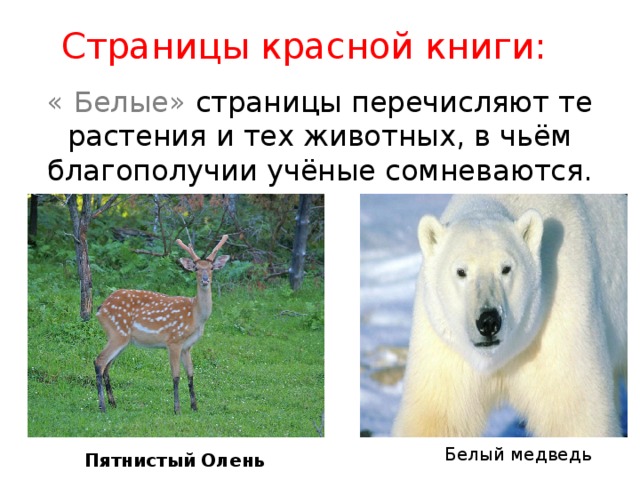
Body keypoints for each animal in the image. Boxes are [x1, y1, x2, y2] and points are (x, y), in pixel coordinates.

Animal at [94, 235, 230, 414]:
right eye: (195, 268)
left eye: (212, 268)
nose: (205, 280)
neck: (195, 316)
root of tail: (100, 309)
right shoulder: (173, 341)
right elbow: (176, 376)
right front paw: (177, 409)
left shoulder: (187, 346)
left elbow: (191, 374)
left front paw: (194, 407)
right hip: (118, 332)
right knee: (99, 361)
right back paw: (102, 406)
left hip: (121, 338)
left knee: (107, 366)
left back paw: (113, 403)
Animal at [392, 194, 627, 437]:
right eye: (461, 271)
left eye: (506, 268)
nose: (488, 321)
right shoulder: (444, 345)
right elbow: (436, 417)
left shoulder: (560, 317)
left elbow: (575, 416)